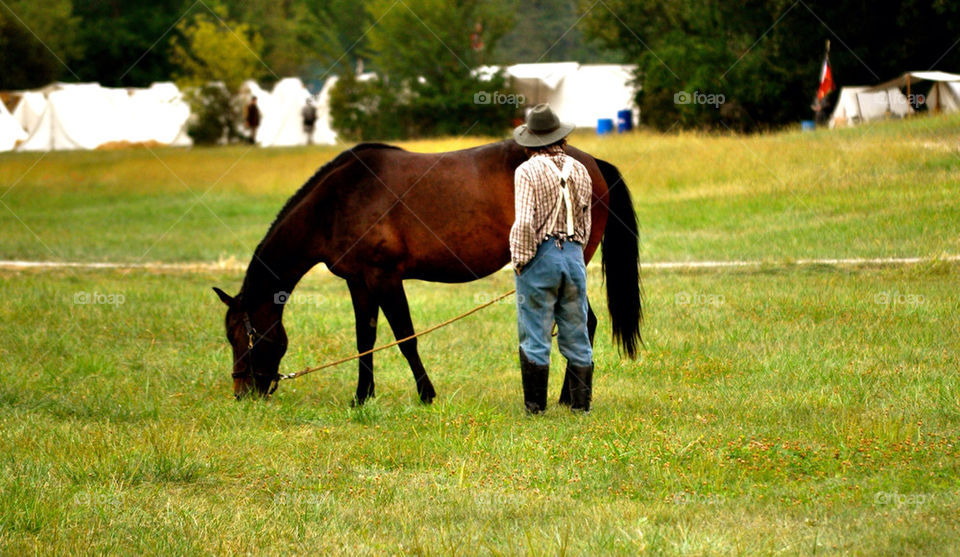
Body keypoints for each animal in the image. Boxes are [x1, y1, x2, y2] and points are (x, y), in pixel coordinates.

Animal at [214, 138, 640, 400]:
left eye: (241, 336)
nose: (242, 394)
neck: (339, 200)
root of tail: (590, 162)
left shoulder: (385, 277)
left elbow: (405, 338)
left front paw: (426, 394)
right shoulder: (359, 282)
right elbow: (365, 339)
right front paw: (362, 397)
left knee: (583, 324)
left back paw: (569, 397)